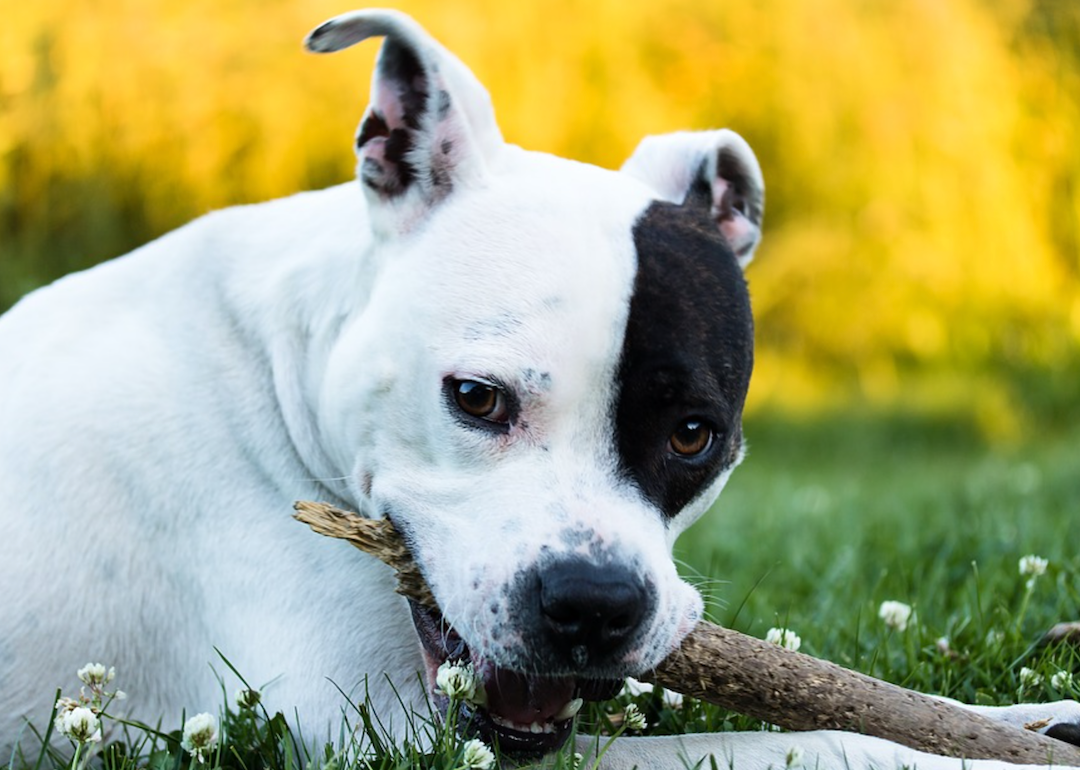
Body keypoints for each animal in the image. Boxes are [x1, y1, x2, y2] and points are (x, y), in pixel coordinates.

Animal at [2, 9, 1080, 764]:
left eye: (694, 434)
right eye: (475, 397)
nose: (593, 605)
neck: (275, 371)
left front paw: (1033, 715)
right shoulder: (392, 735)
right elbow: (814, 739)